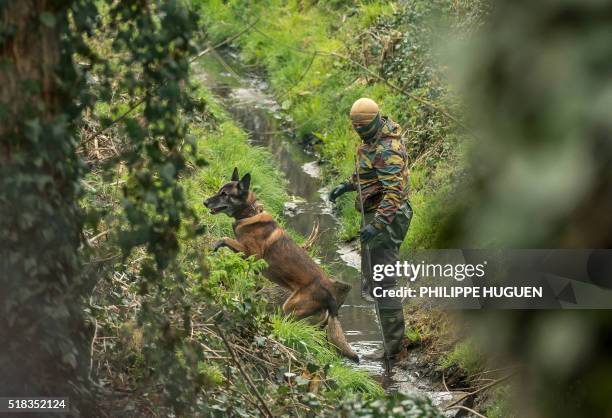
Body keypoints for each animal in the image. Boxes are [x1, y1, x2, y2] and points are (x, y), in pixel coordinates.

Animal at [206, 168, 358, 360]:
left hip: (291, 306)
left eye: (225, 194)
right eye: (219, 191)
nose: (204, 202)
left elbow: (225, 239)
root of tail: (330, 294)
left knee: (291, 324)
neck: (250, 214)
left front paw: (214, 245)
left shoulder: (252, 254)